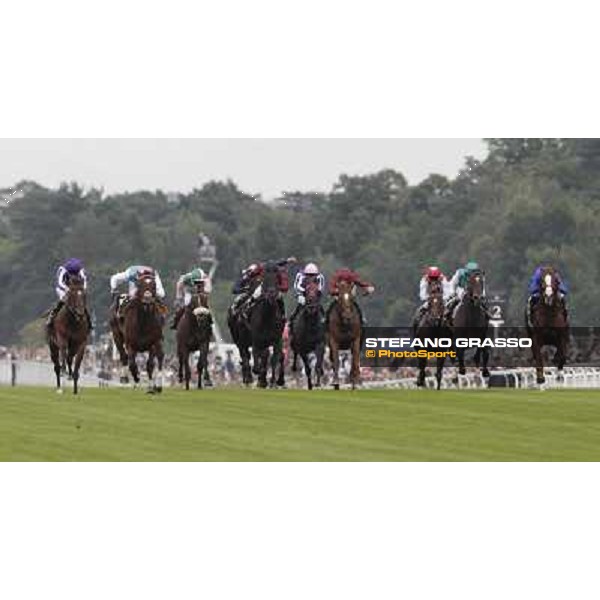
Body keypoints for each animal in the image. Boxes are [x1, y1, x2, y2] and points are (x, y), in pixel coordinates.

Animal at [248, 262, 286, 390]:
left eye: (277, 279)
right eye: (264, 279)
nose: (271, 294)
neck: (267, 318)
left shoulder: (277, 339)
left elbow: (274, 359)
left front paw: (272, 381)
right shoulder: (257, 339)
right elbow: (257, 361)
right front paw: (261, 379)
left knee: (280, 356)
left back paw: (279, 380)